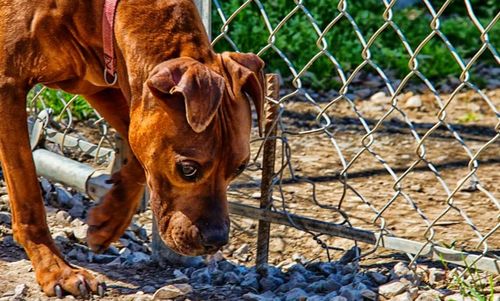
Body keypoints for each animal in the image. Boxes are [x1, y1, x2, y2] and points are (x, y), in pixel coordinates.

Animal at [0, 0, 266, 296]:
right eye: (187, 169)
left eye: (239, 168)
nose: (217, 241)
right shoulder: (8, 88)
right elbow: (27, 195)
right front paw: (57, 269)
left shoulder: (107, 86)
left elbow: (138, 156)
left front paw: (108, 220)